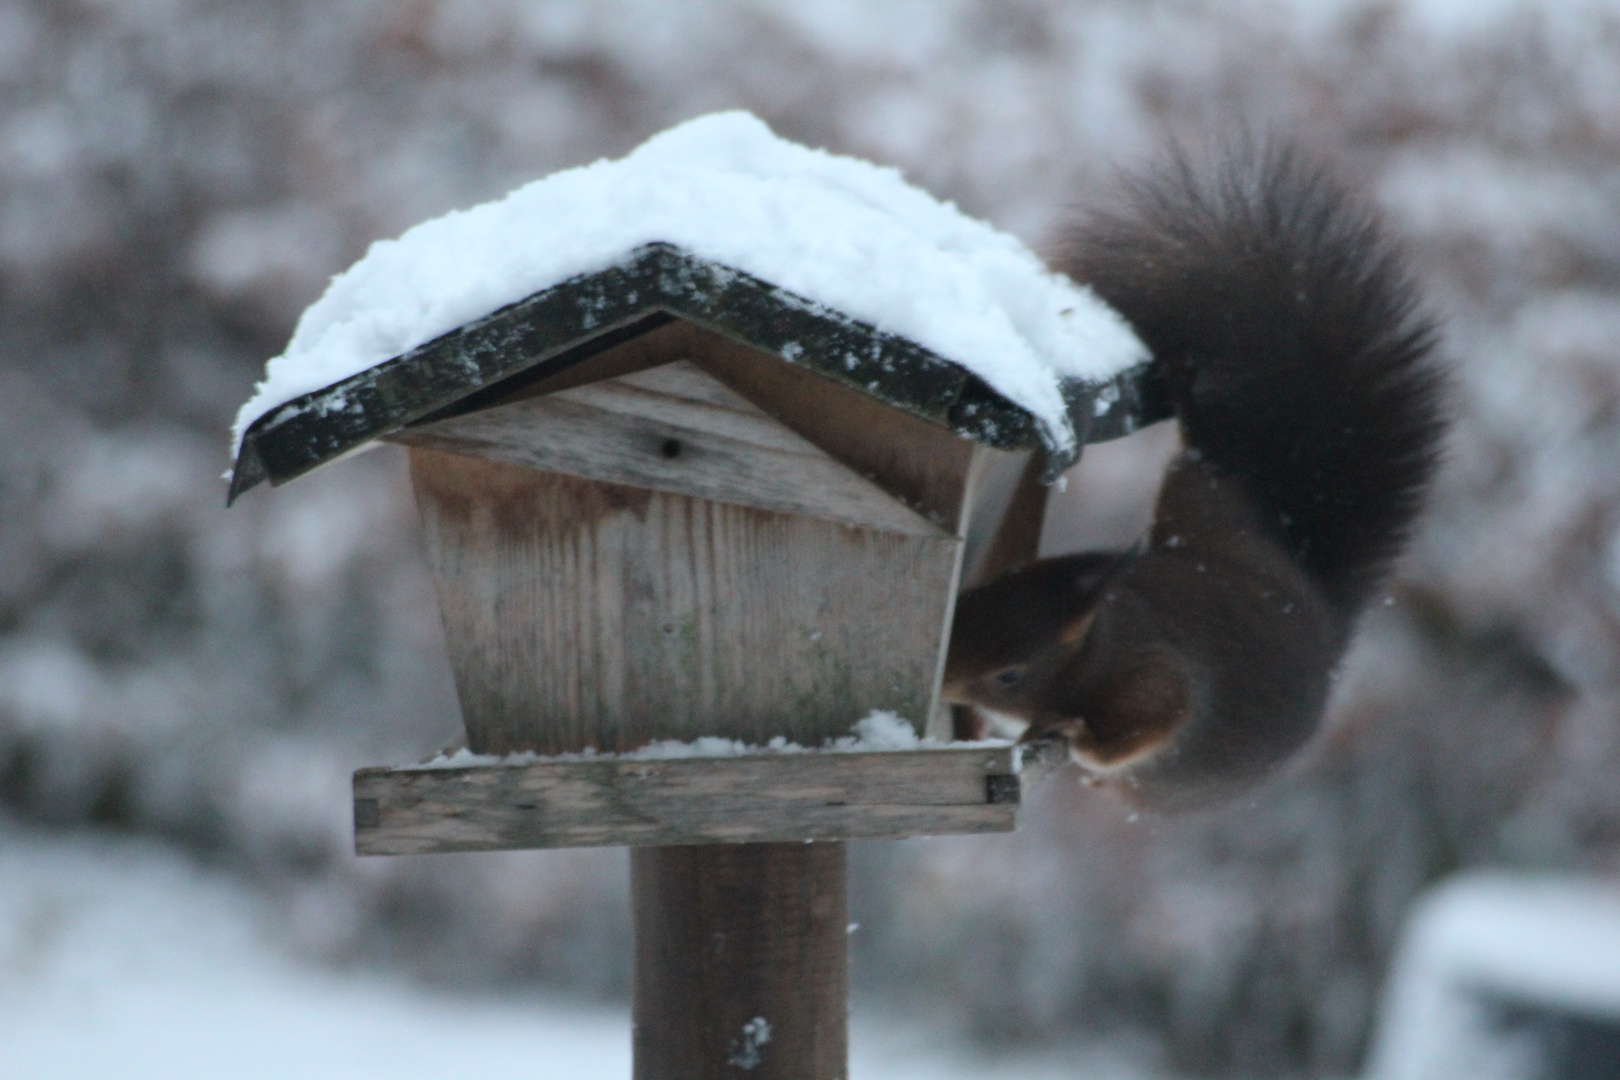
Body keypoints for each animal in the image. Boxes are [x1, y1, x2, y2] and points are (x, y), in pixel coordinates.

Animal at [946, 143, 1451, 809]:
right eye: (963, 604)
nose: (945, 685)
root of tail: (1322, 616)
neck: (1104, 632)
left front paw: (1070, 733)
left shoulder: (1154, 676)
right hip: (1206, 501)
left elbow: (1151, 723)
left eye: (1009, 673)